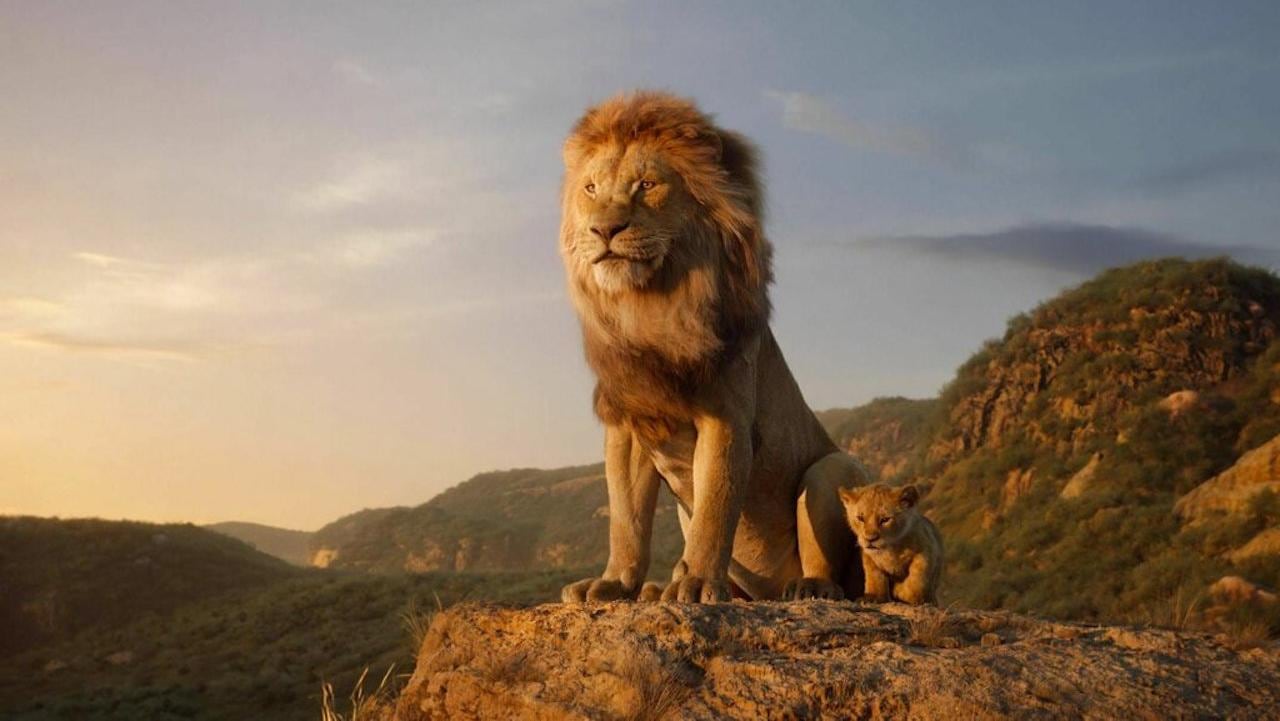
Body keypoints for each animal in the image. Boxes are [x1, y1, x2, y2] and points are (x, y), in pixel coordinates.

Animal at [556, 91, 871, 604]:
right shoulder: (629, 423)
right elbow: (626, 519)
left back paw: (808, 587)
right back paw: (656, 588)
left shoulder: (726, 416)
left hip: (832, 469)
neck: (650, 307)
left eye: (647, 184)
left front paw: (699, 583)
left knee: (833, 568)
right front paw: (615, 583)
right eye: (590, 189)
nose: (604, 230)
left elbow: (715, 509)